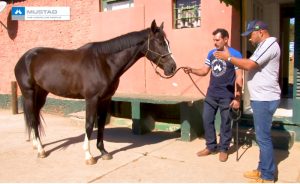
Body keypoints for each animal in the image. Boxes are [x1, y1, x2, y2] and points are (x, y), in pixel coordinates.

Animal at [14, 19, 177, 164]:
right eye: (160, 43)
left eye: (168, 42)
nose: (173, 67)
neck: (103, 62)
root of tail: (25, 58)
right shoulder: (91, 99)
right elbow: (89, 124)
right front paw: (89, 156)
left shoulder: (105, 99)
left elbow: (102, 124)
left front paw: (103, 152)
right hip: (29, 94)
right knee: (33, 119)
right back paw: (41, 150)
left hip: (41, 94)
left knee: (34, 116)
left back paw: (37, 145)